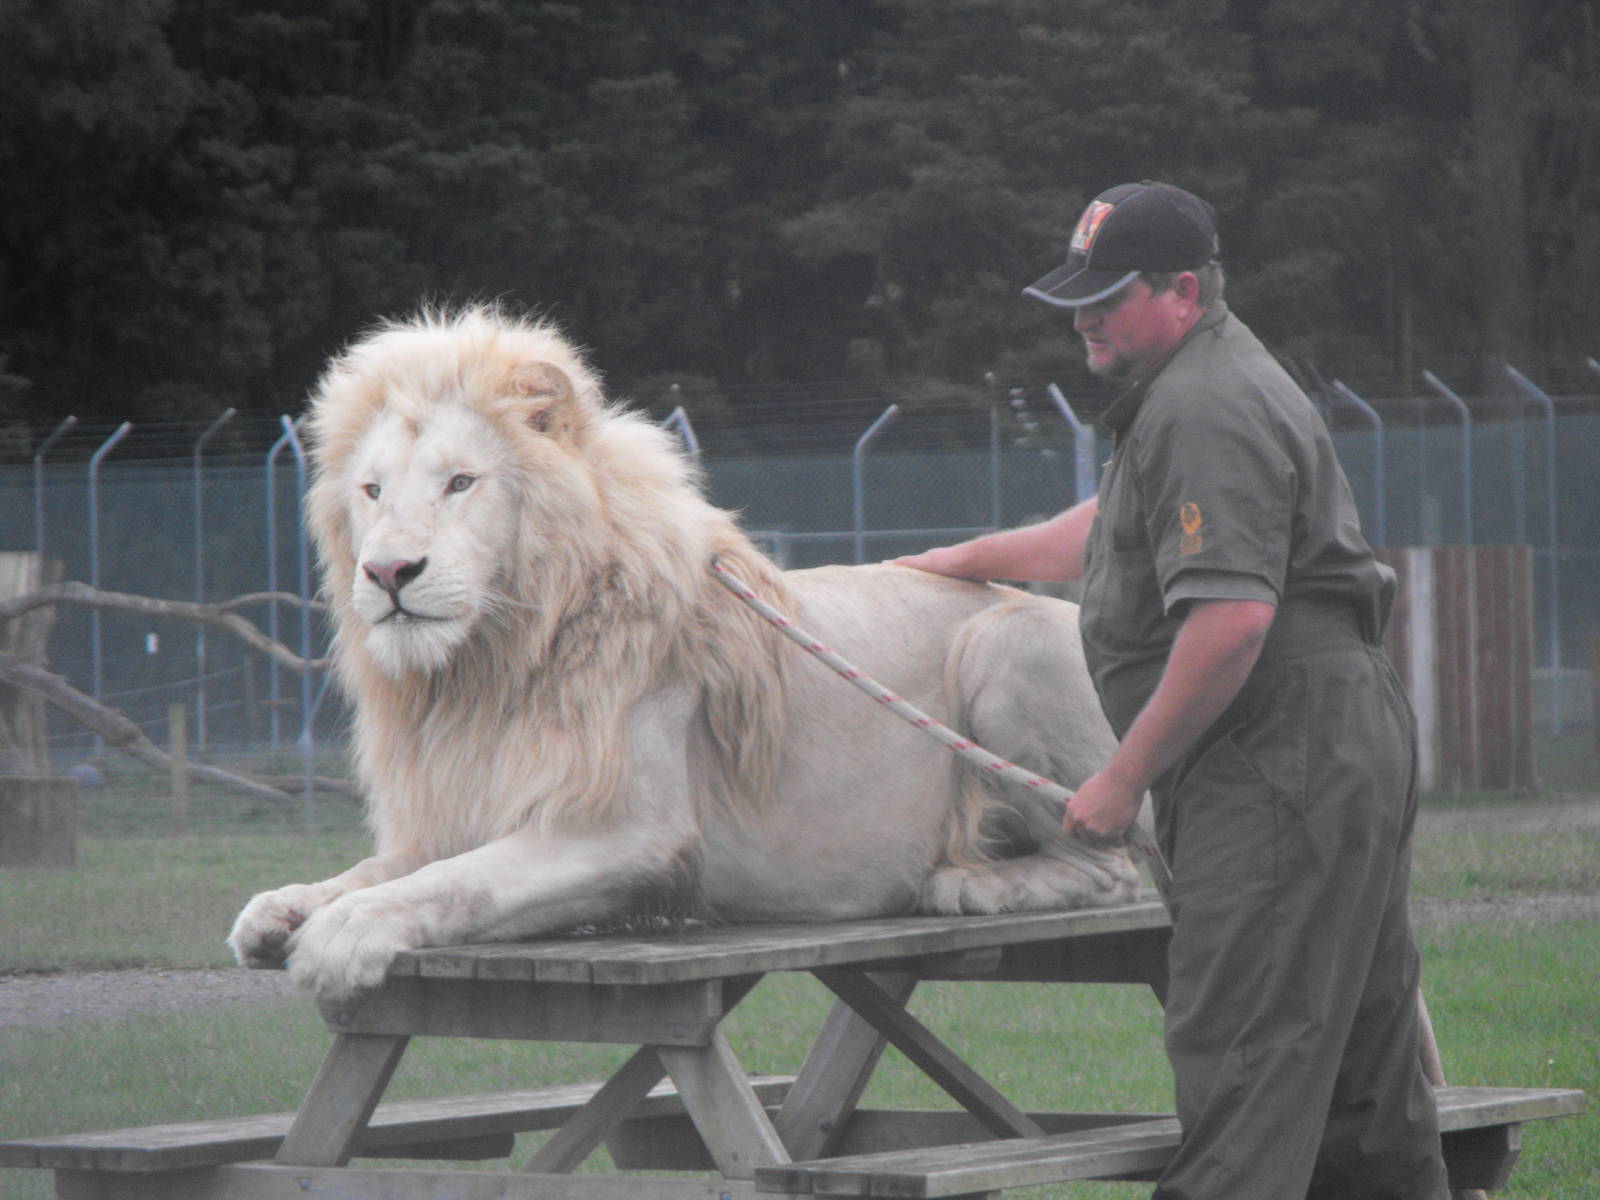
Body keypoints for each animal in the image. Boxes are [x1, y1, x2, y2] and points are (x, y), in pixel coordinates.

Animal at [227, 306, 1143, 1001]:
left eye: (460, 483)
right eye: (373, 491)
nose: (388, 573)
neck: (486, 667)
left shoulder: (627, 834)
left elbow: (455, 884)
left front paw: (341, 934)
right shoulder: (467, 805)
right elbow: (384, 868)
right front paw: (286, 906)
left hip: (1009, 648)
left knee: (1111, 867)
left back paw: (968, 882)